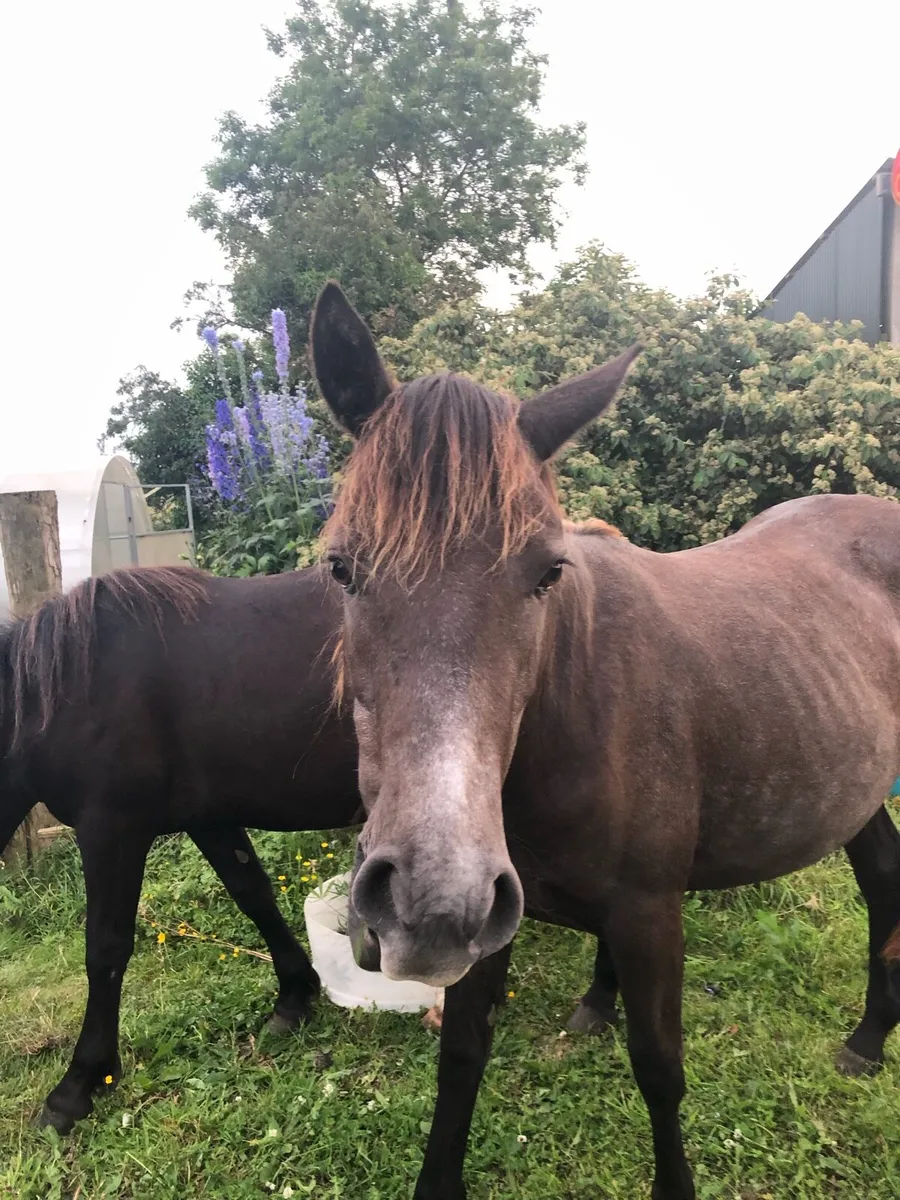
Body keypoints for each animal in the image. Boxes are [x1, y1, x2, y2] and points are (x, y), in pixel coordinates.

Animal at [310, 280, 900, 1200]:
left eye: (547, 572)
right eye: (342, 567)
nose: (428, 900)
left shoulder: (651, 914)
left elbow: (660, 1068)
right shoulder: (489, 926)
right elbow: (461, 1060)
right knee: (882, 879)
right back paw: (870, 1041)